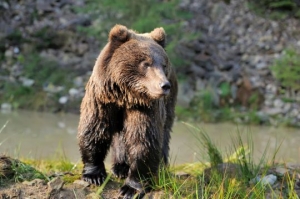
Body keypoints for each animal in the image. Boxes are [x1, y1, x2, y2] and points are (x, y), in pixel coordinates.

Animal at [77, 24, 178, 197]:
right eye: (146, 63)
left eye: (163, 65)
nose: (164, 85)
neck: (126, 96)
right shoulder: (102, 99)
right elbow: (94, 129)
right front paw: (94, 175)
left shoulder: (146, 107)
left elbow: (143, 139)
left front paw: (131, 188)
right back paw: (121, 167)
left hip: (169, 104)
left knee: (164, 131)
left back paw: (161, 168)